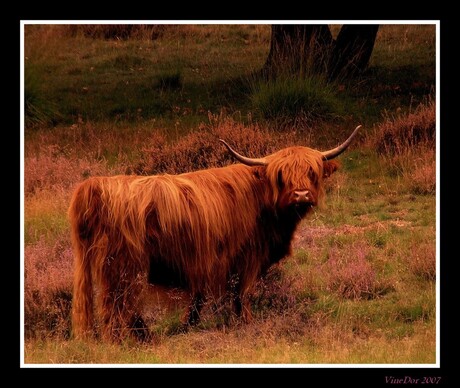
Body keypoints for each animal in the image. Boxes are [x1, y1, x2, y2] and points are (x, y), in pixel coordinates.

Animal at [69, 126, 360, 342]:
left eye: (312, 172)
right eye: (280, 175)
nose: (301, 195)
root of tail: (95, 187)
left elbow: (201, 299)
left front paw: (189, 326)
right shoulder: (243, 258)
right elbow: (241, 294)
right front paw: (246, 324)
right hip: (124, 267)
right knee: (117, 307)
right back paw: (125, 341)